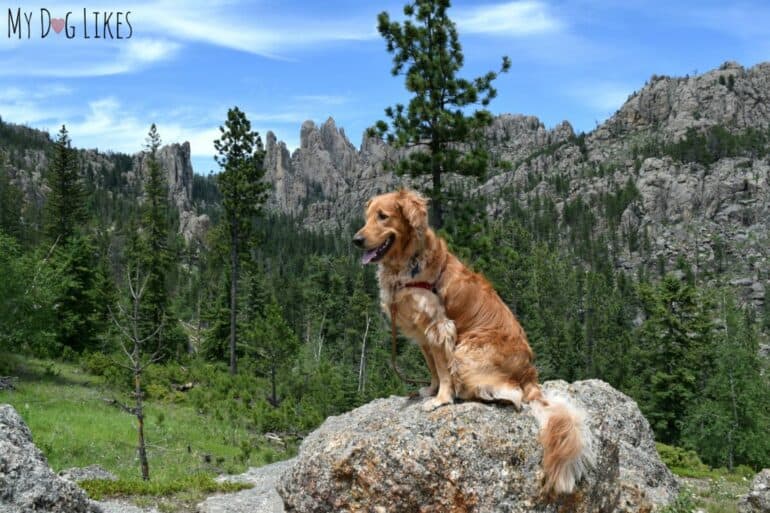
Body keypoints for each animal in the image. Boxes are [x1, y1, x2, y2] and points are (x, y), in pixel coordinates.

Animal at [354, 189, 592, 496]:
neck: (407, 263)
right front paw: (430, 390)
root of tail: (529, 374)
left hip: (466, 352)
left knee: (512, 394)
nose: (356, 240)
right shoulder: (422, 333)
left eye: (383, 216)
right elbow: (433, 368)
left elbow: (443, 371)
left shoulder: (440, 327)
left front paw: (441, 399)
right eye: (367, 217)